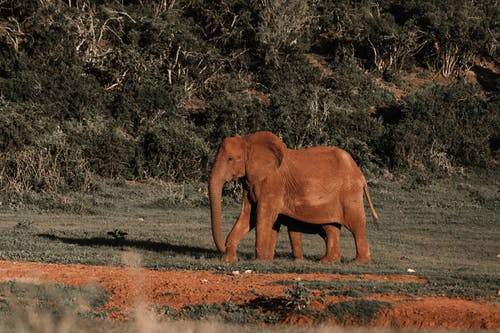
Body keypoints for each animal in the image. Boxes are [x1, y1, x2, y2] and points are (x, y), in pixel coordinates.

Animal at [208, 131, 378, 264]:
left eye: (230, 159)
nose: (222, 247)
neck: (248, 141)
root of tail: (360, 174)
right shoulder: (252, 181)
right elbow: (247, 215)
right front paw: (229, 260)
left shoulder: (273, 182)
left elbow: (262, 215)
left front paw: (260, 260)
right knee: (330, 227)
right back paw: (327, 261)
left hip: (349, 192)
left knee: (356, 224)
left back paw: (359, 261)